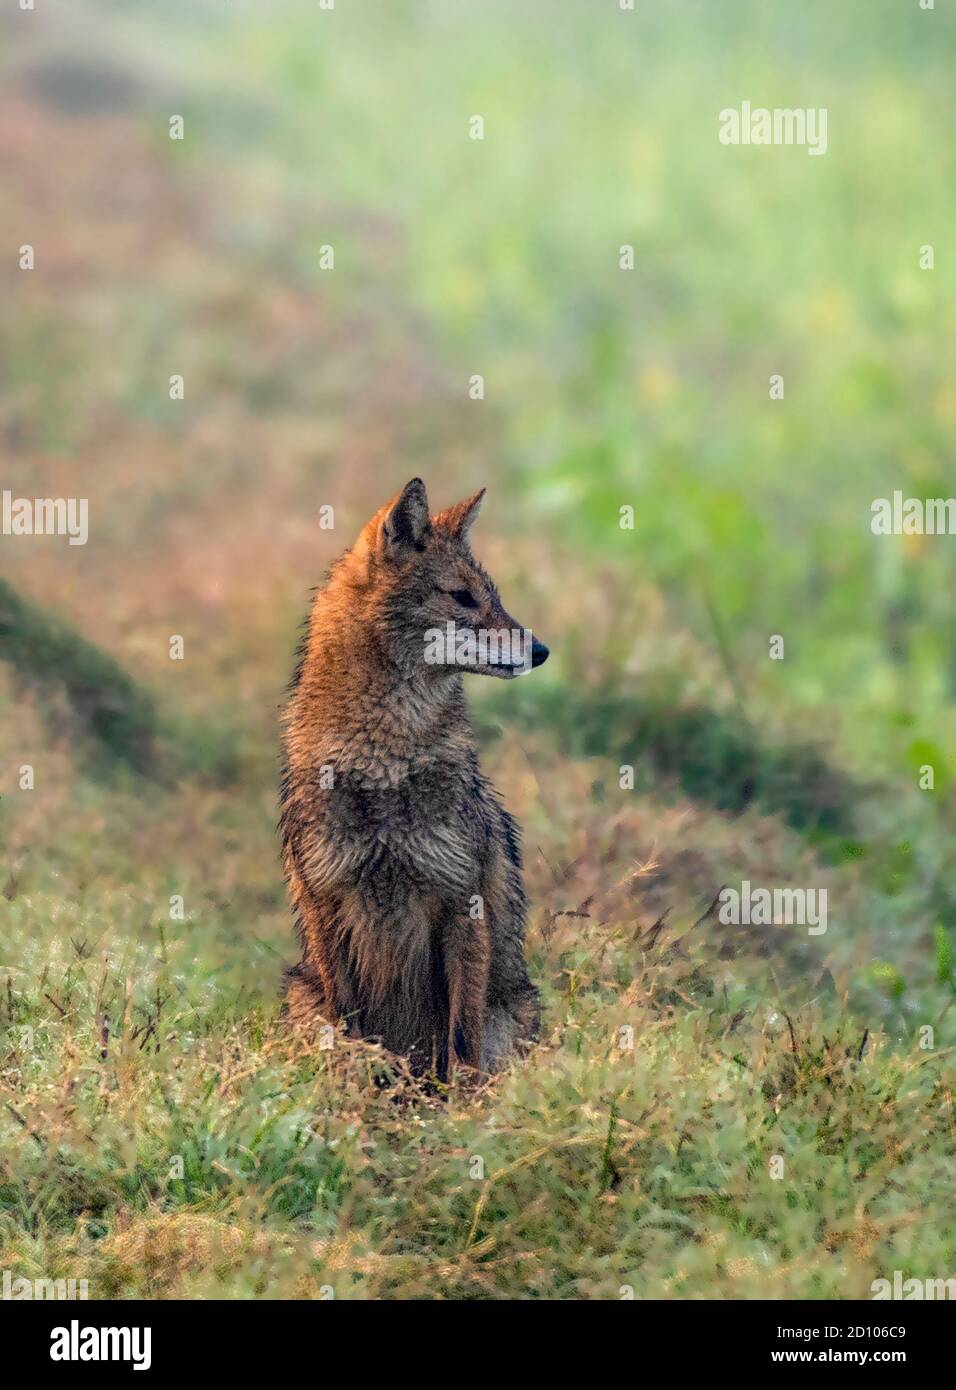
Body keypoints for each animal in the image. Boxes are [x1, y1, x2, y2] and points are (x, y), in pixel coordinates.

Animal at [279, 478, 548, 1078]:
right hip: (299, 994)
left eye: (493, 595)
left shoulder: (462, 906)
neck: (383, 762)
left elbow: (462, 1041)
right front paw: (355, 1083)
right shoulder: (325, 903)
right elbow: (350, 1027)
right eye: (463, 597)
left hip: (515, 1008)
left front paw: (460, 1100)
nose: (541, 650)